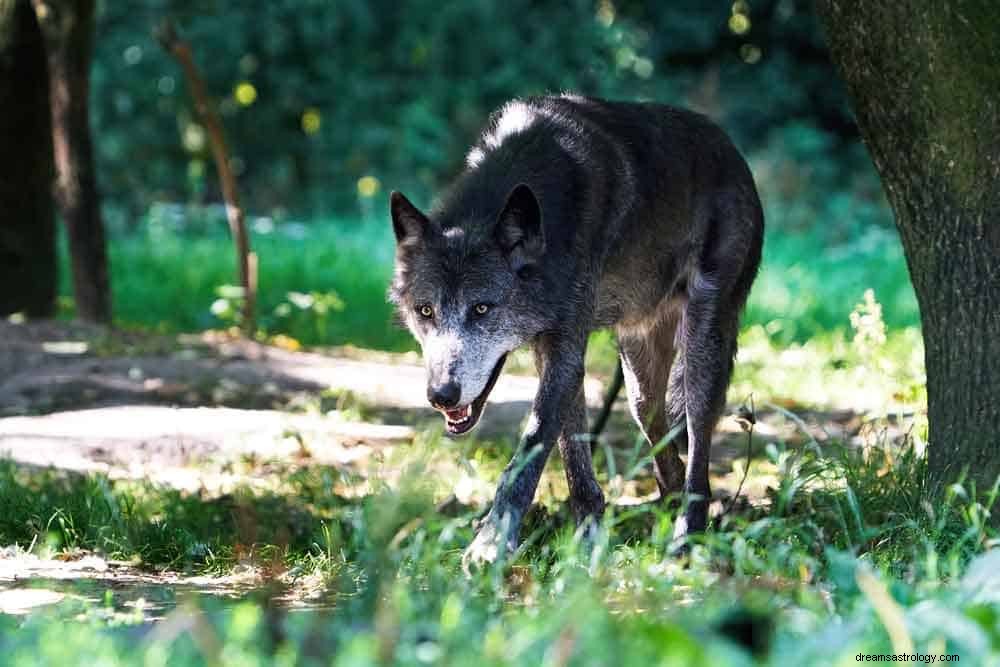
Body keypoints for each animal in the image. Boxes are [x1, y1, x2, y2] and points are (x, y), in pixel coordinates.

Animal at [386, 94, 760, 568]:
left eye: (482, 308)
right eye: (425, 310)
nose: (441, 395)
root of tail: (732, 150)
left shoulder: (565, 351)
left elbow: (532, 445)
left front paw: (491, 542)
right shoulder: (555, 353)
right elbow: (572, 453)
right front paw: (589, 540)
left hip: (700, 350)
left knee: (697, 442)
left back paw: (687, 535)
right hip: (638, 378)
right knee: (660, 432)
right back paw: (671, 508)